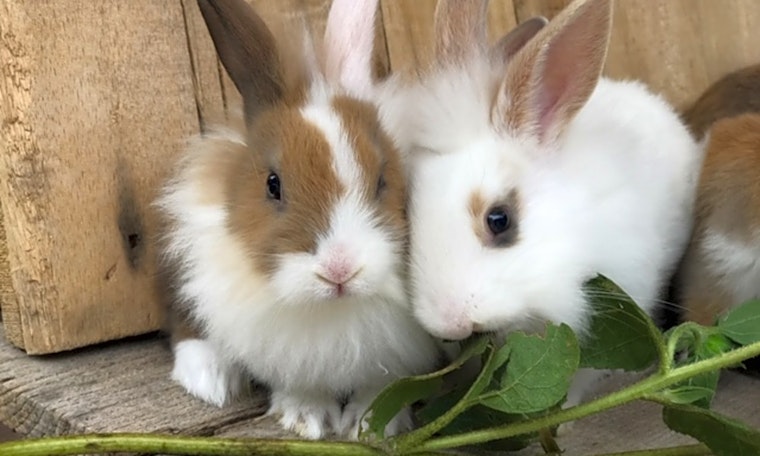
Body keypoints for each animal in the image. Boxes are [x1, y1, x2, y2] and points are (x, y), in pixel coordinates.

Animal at [153, 0, 443, 440]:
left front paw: (367, 425)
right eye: (273, 184)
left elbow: (382, 387)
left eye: (382, 180)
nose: (339, 270)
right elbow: (298, 381)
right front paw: (307, 419)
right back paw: (209, 382)